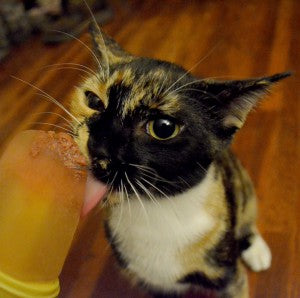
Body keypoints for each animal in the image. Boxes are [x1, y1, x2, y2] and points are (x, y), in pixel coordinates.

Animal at [71, 21, 290, 298]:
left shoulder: (230, 278)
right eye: (93, 100)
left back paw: (257, 249)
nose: (96, 145)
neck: (157, 211)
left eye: (163, 128)